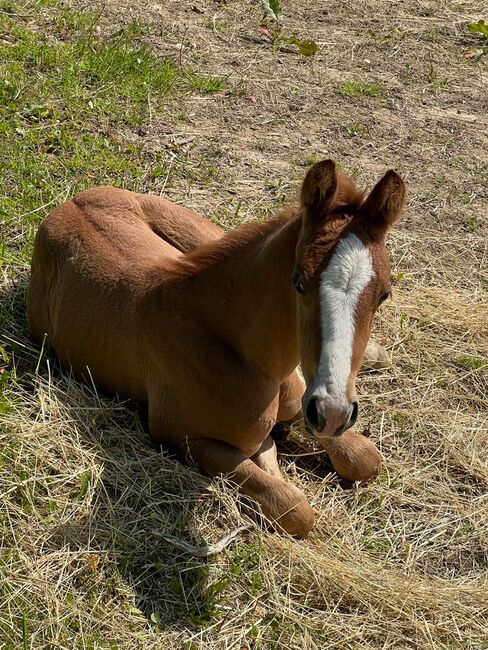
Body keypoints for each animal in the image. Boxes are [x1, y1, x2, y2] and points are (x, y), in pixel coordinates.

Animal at [28, 159, 406, 536]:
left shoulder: (302, 401)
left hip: (201, 232)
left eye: (385, 294)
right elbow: (294, 508)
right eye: (298, 282)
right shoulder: (181, 436)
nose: (332, 411)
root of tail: (69, 202)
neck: (243, 356)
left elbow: (364, 458)